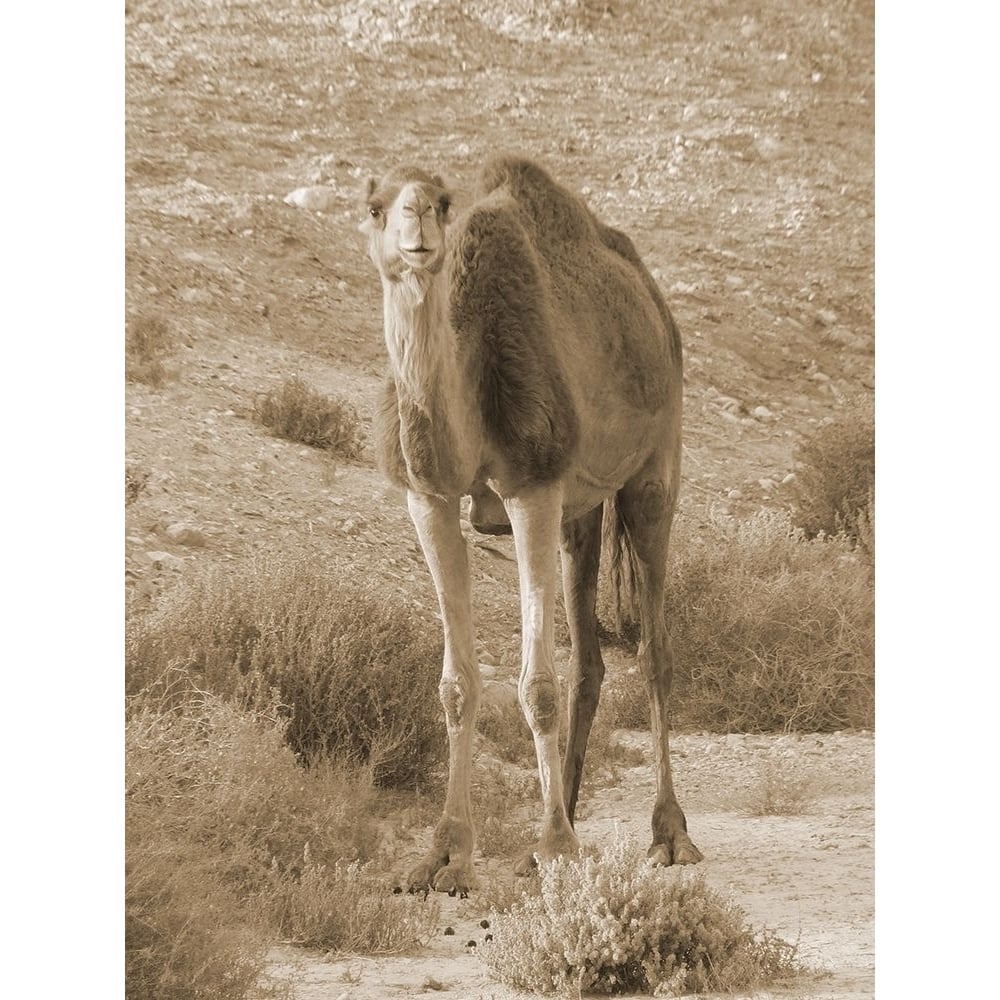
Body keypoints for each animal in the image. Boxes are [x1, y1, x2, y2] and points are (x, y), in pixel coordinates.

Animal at [362, 156, 704, 892]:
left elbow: (536, 685)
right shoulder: (428, 498)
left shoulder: (533, 486)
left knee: (655, 649)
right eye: (374, 207)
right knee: (589, 660)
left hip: (654, 464)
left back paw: (668, 833)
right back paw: (567, 813)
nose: (417, 220)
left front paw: (555, 849)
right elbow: (457, 684)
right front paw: (444, 856)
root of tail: (653, 301)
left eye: (441, 201)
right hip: (583, 507)